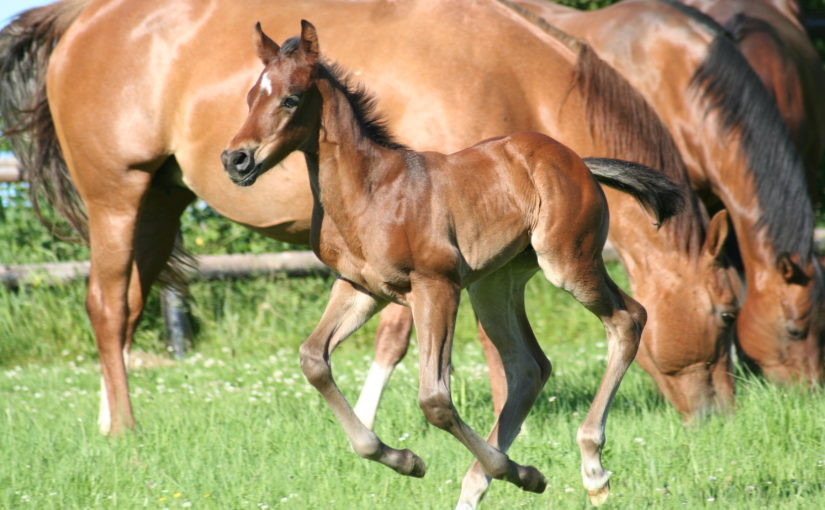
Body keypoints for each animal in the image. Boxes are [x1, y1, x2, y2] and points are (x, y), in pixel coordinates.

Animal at [0, 0, 732, 442]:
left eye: (289, 98)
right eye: (726, 313)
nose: (722, 411)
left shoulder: (425, 279)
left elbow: (391, 349)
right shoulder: (422, 280)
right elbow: (417, 353)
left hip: (159, 200)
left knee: (124, 304)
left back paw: (110, 422)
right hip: (116, 195)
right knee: (104, 304)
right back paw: (123, 427)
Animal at [220, 20, 684, 506]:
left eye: (290, 98)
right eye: (250, 97)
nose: (236, 159)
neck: (370, 192)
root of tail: (578, 160)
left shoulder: (435, 285)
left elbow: (435, 399)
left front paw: (523, 473)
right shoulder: (359, 287)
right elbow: (313, 359)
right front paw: (407, 460)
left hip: (568, 263)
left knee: (628, 319)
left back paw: (591, 468)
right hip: (494, 285)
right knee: (529, 366)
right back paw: (477, 487)